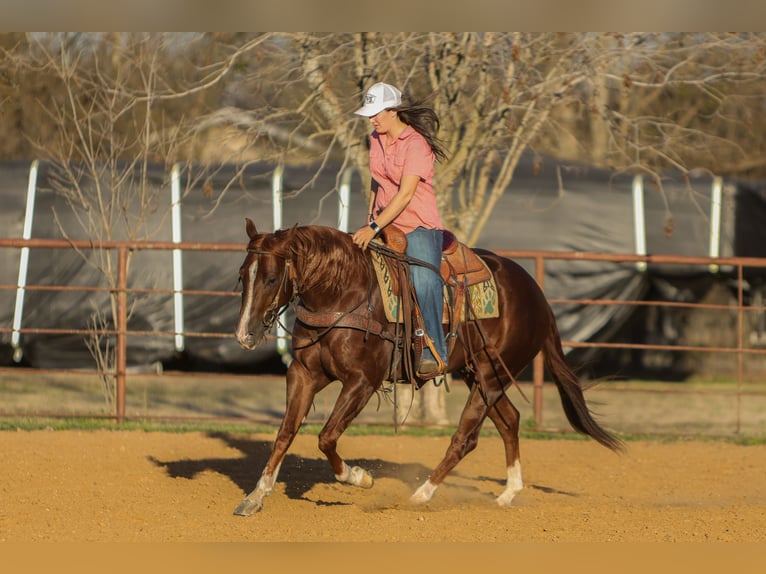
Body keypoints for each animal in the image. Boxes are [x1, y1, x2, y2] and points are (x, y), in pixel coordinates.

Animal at [233, 220, 622, 515]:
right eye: (242, 276)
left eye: (271, 279)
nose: (244, 335)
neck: (343, 293)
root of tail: (537, 295)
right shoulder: (303, 373)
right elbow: (285, 432)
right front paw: (256, 495)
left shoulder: (362, 381)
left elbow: (327, 436)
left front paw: (359, 478)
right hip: (478, 375)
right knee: (510, 421)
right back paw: (507, 494)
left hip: (491, 376)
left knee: (466, 438)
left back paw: (421, 494)